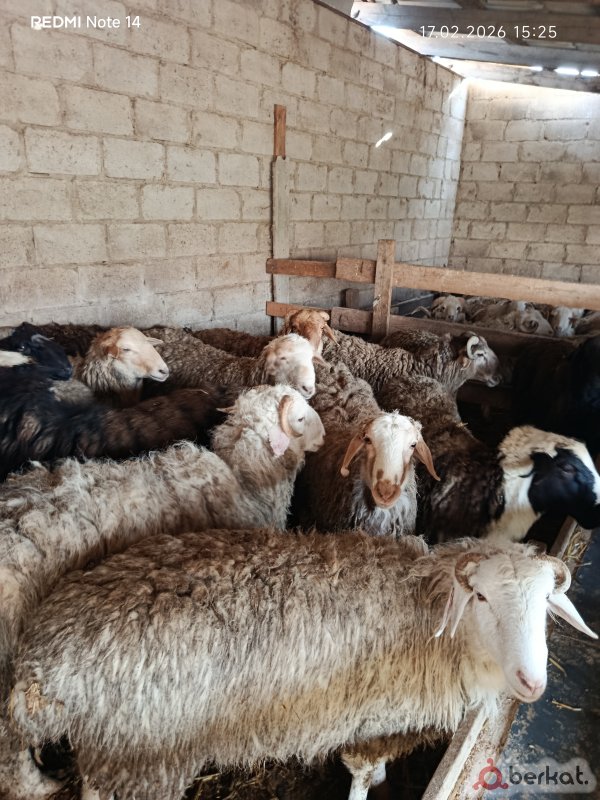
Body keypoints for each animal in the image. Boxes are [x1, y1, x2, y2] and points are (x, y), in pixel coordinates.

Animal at [9, 530, 596, 800]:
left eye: (546, 604)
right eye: (481, 598)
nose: (532, 682)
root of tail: (43, 654)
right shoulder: (374, 720)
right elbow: (360, 775)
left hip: (115, 745)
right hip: (145, 748)